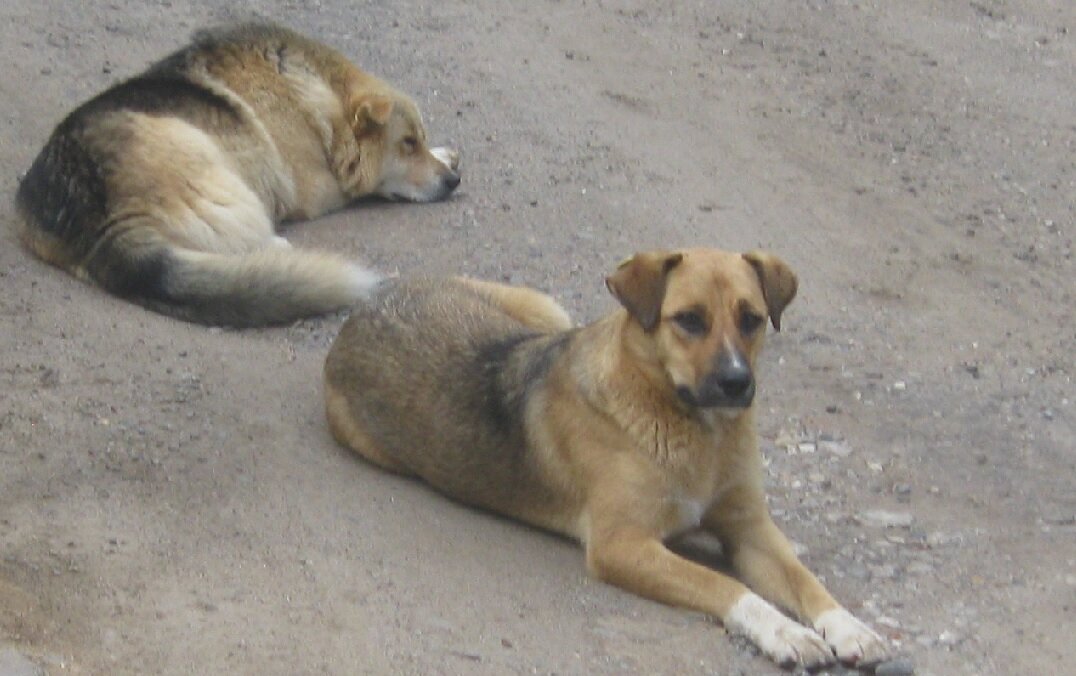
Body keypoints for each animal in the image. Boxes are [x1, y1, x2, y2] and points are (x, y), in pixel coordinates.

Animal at [15, 21, 462, 327]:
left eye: (418, 140)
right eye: (407, 144)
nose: (452, 183)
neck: (318, 89)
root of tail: (102, 221)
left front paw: (445, 154)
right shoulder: (320, 187)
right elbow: (359, 185)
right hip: (213, 166)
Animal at [322, 249, 886, 671]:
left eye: (752, 319)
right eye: (688, 320)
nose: (736, 383)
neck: (692, 429)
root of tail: (367, 307)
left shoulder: (750, 529)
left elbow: (807, 580)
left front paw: (849, 626)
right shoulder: (623, 545)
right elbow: (725, 584)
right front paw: (783, 631)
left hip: (545, 310)